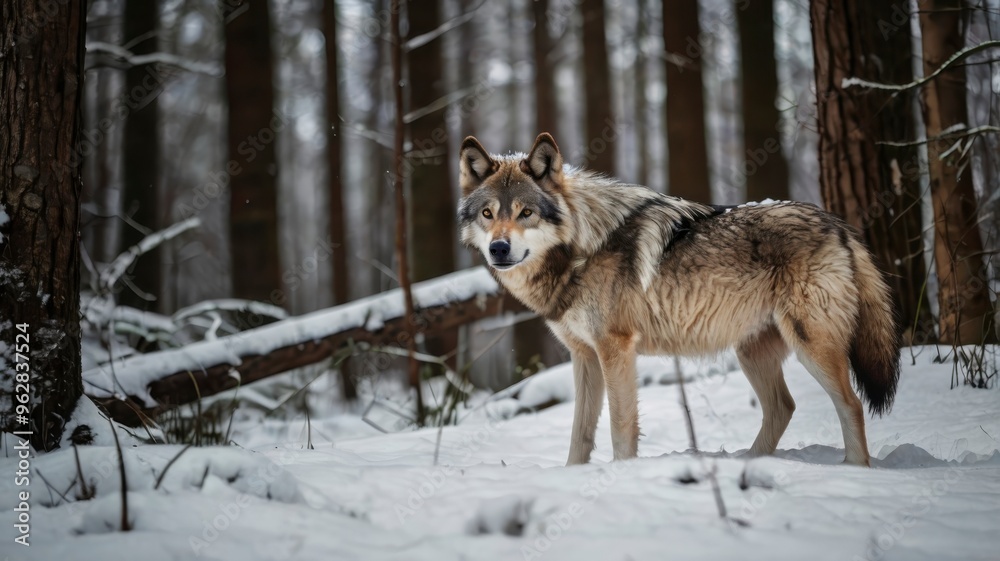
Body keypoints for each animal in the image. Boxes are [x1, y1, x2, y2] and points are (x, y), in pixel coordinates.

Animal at [457, 133, 901, 467]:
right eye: (487, 214)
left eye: (526, 212)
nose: (498, 248)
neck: (582, 247)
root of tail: (839, 226)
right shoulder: (584, 356)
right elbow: (579, 435)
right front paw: (572, 476)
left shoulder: (615, 349)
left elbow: (620, 427)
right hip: (751, 352)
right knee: (783, 407)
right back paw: (749, 463)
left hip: (811, 344)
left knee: (851, 405)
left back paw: (853, 470)